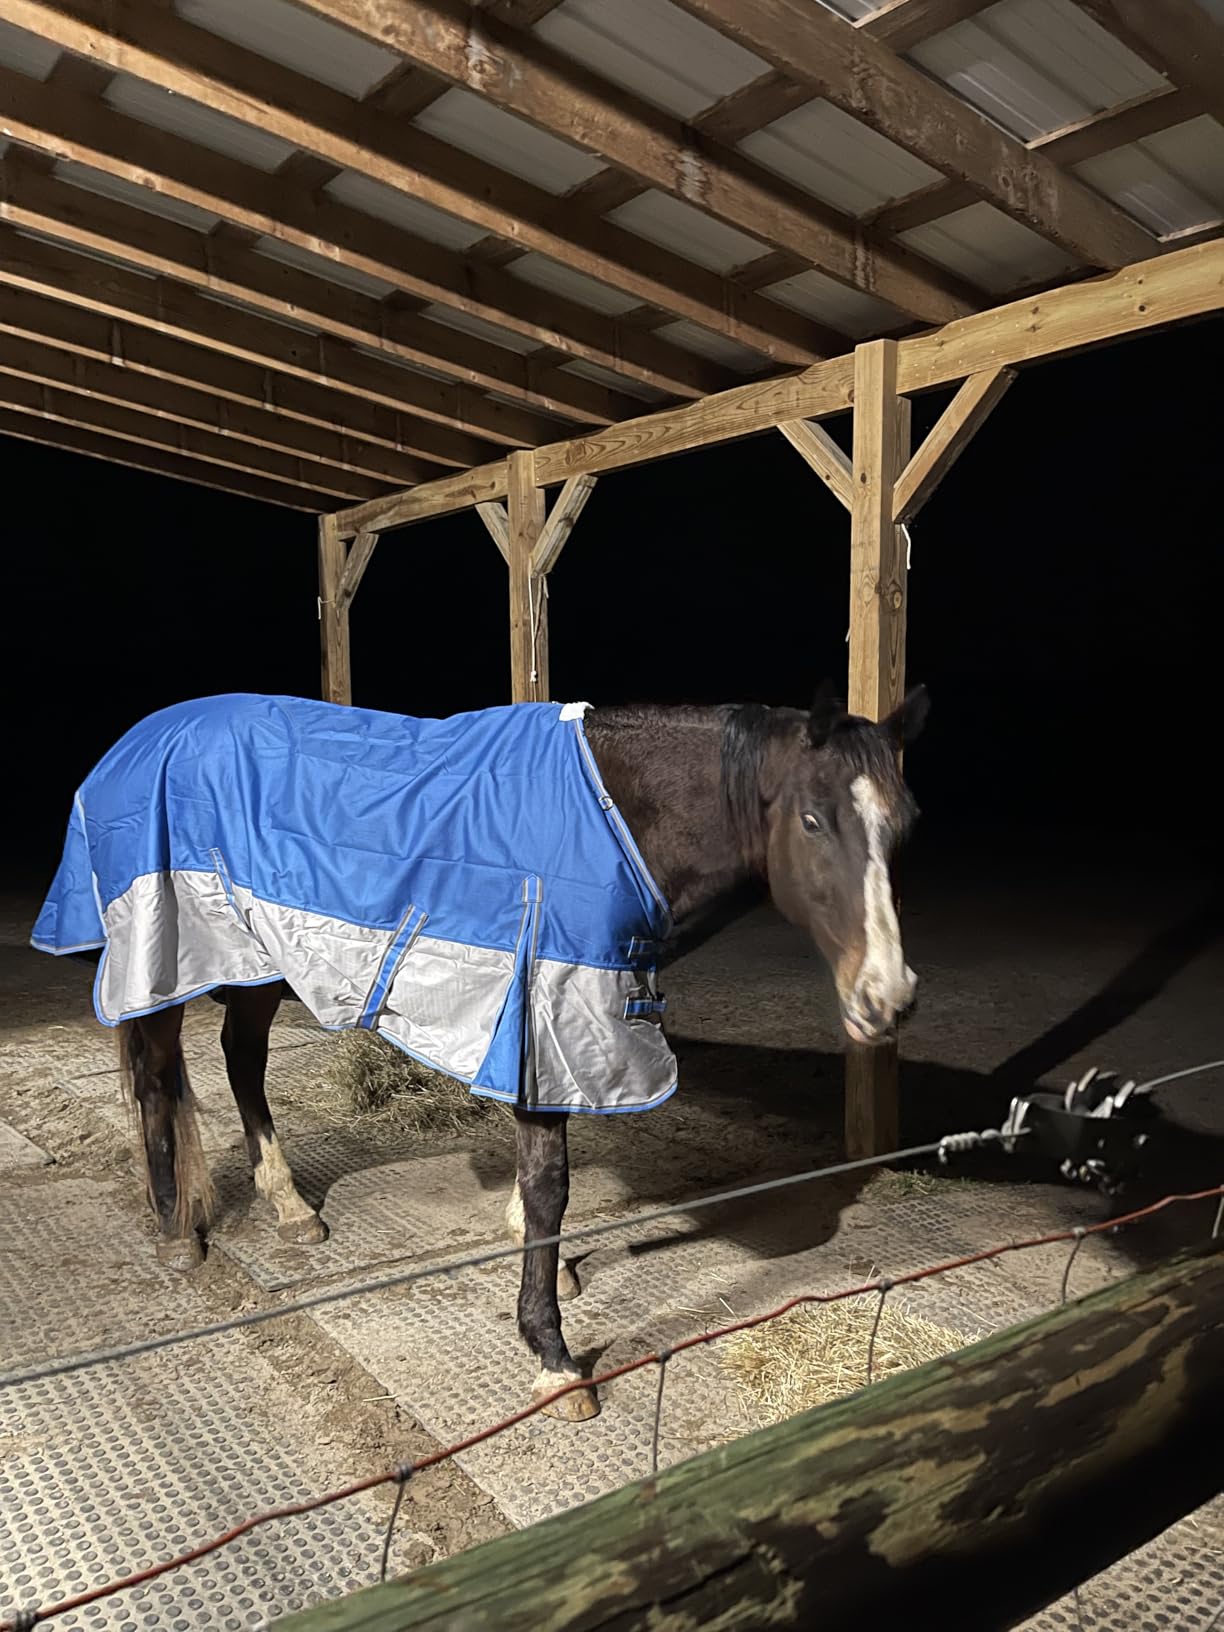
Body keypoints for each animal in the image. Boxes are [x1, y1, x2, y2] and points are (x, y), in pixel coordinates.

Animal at [32, 682, 927, 1421]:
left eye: (903, 827)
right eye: (813, 820)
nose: (887, 998)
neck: (611, 814)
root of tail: (138, 739)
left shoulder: (543, 1021)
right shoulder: (545, 1006)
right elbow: (550, 1185)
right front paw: (554, 1358)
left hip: (257, 958)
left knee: (240, 1060)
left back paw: (288, 1204)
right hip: (167, 953)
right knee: (158, 1076)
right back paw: (178, 1230)